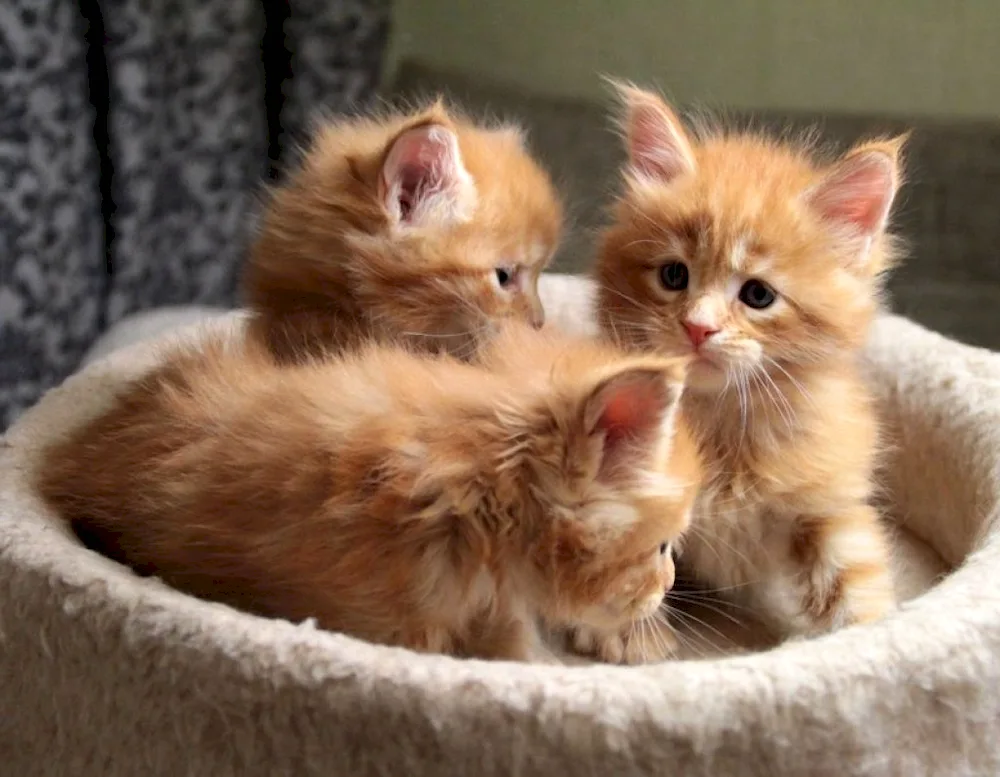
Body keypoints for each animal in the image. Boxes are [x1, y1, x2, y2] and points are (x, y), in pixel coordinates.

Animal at [588, 83, 904, 656]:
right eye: (674, 275)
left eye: (758, 295)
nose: (698, 327)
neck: (719, 422)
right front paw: (630, 634)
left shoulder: (830, 497)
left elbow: (855, 571)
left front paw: (869, 643)